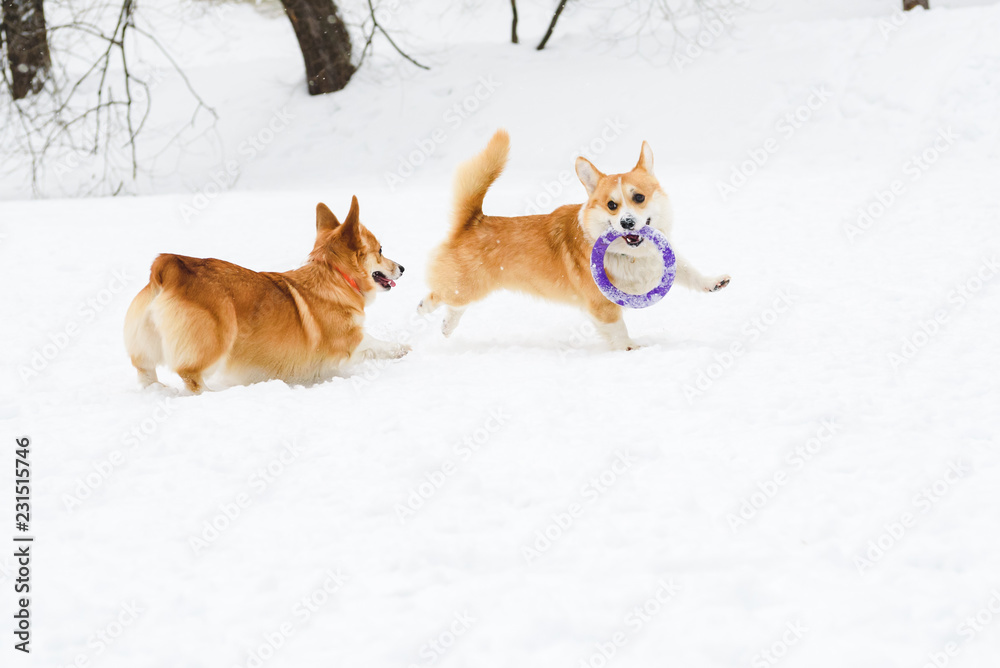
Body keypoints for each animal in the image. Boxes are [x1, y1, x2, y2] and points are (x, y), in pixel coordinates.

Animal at [124, 198, 406, 394]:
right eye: (381, 250)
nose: (403, 268)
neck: (334, 275)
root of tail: (168, 267)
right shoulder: (350, 340)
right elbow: (380, 344)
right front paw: (404, 349)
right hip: (216, 341)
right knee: (191, 377)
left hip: (145, 347)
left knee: (146, 373)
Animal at [418, 130, 732, 350]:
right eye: (611, 205)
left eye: (639, 197)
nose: (627, 223)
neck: (631, 255)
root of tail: (472, 220)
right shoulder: (602, 304)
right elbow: (618, 329)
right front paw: (631, 348)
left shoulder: (661, 262)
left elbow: (691, 273)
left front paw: (715, 282)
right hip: (467, 285)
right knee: (440, 295)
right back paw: (424, 308)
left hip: (472, 289)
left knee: (455, 307)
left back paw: (446, 327)